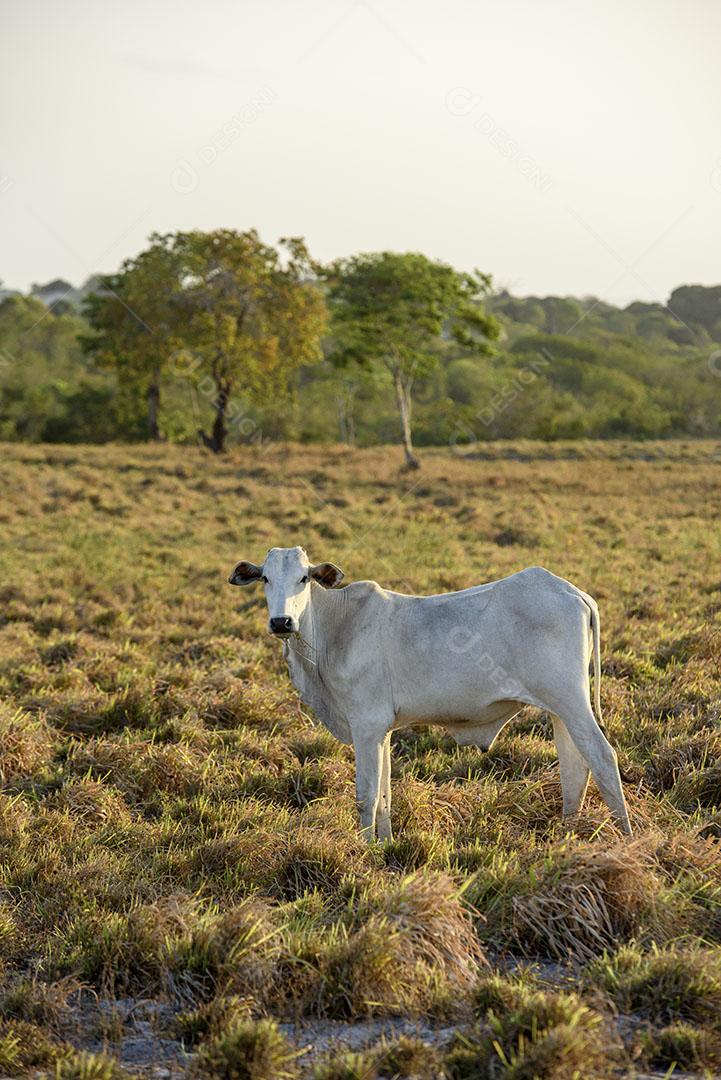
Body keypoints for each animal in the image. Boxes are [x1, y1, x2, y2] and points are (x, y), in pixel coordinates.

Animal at [227, 548, 626, 842]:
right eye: (265, 578)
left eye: (304, 578)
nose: (281, 622)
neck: (335, 627)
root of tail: (572, 592)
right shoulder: (382, 730)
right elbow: (385, 796)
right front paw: (384, 846)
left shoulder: (366, 725)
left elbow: (366, 797)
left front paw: (363, 852)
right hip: (560, 708)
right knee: (575, 767)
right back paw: (566, 837)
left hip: (571, 701)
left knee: (603, 757)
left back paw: (626, 834)